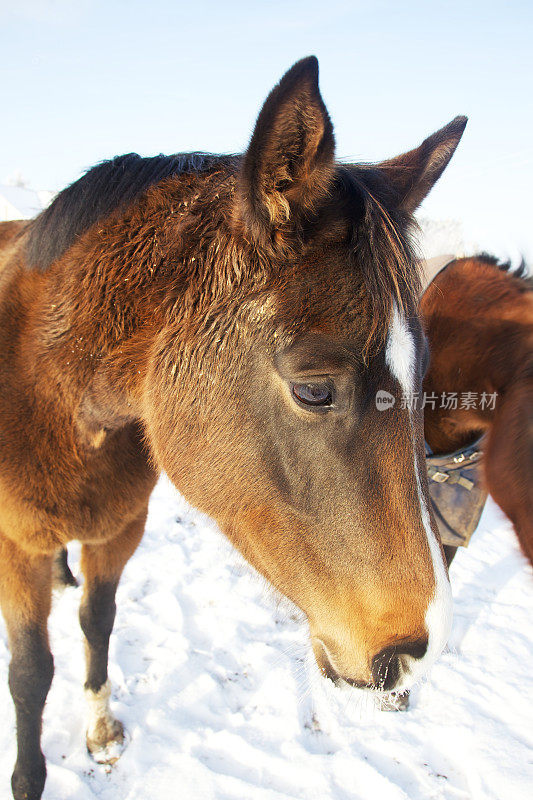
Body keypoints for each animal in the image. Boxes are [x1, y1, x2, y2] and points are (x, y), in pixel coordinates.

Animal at [0, 57, 466, 800]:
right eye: (313, 389)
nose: (413, 654)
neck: (53, 396)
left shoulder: (121, 528)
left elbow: (98, 621)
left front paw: (100, 728)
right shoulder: (15, 547)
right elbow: (29, 674)